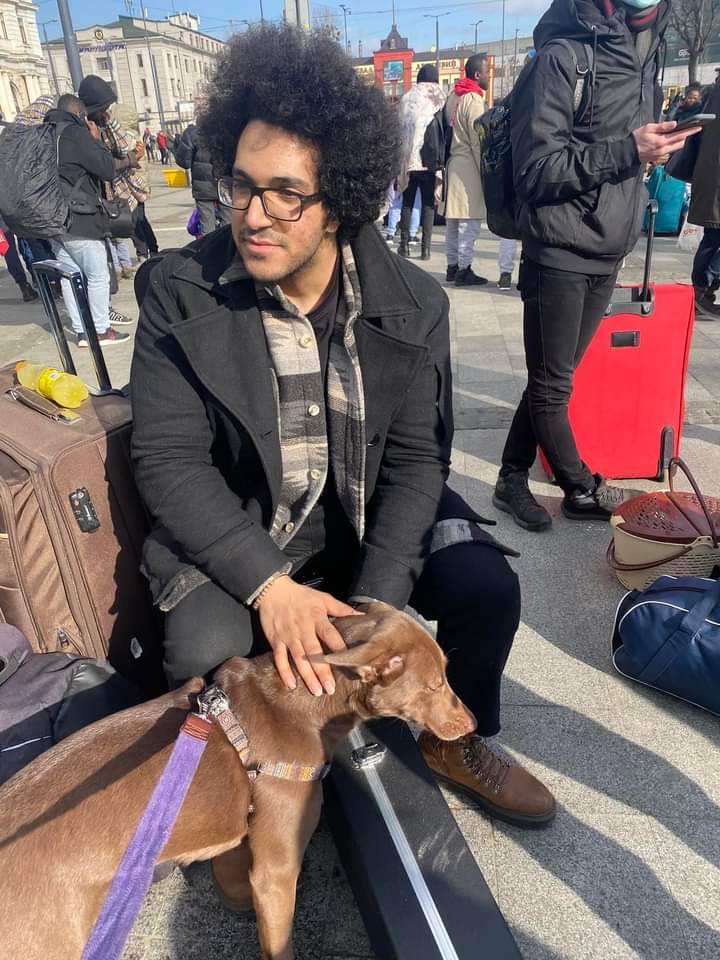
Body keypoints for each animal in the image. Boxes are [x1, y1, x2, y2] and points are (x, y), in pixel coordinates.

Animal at [0, 602, 475, 960]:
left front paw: (238, 899)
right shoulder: (278, 866)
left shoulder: (243, 832)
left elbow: (233, 866)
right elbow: (280, 941)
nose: (472, 725)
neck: (301, 702)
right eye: (435, 685)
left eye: (447, 674)